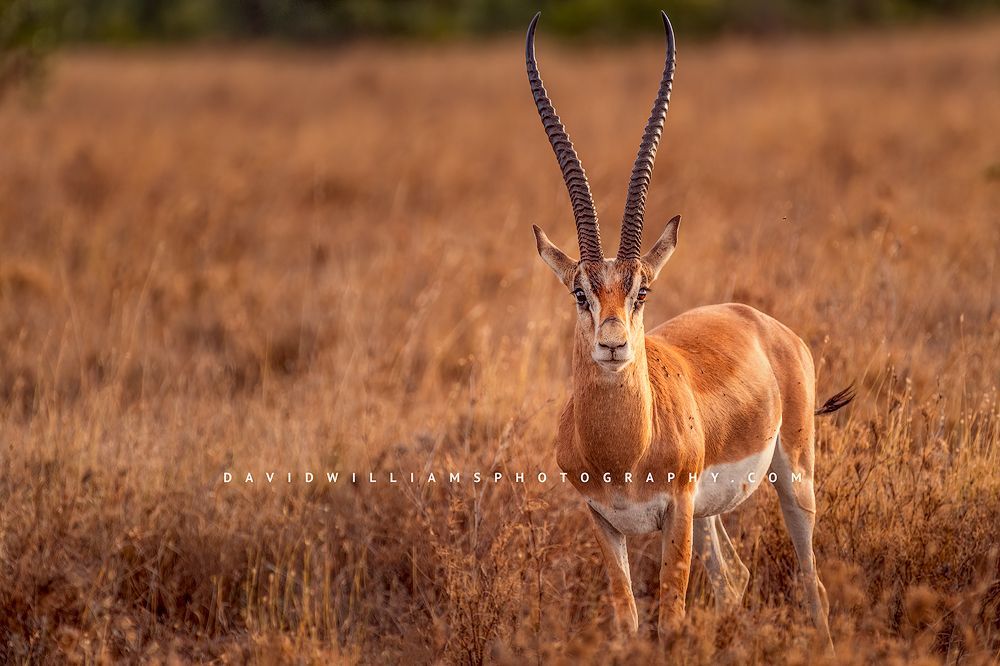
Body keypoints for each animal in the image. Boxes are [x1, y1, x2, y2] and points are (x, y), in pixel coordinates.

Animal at [525, 11, 853, 648]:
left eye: (642, 290)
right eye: (580, 292)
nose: (612, 345)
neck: (624, 450)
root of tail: (765, 323)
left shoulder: (674, 511)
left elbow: (672, 618)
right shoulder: (603, 520)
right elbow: (627, 618)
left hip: (792, 478)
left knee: (812, 582)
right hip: (708, 515)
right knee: (735, 578)